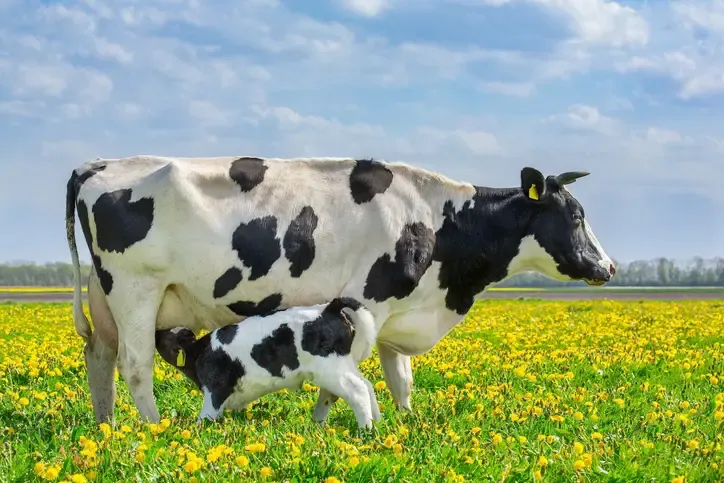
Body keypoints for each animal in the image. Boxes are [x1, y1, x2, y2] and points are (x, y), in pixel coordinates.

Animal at [154, 297, 381, 428]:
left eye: (167, 337)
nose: (155, 330)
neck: (201, 351)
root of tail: (329, 308)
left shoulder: (215, 387)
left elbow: (207, 416)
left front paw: (199, 429)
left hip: (331, 369)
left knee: (357, 390)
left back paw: (365, 429)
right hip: (344, 363)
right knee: (367, 385)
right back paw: (377, 421)